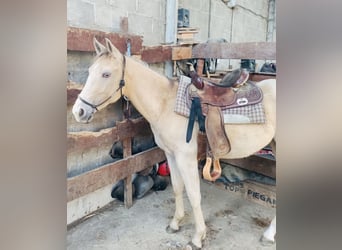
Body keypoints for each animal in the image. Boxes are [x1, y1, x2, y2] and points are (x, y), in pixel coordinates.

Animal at [73, 38, 278, 249]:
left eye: (106, 74)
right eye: (90, 71)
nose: (78, 111)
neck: (166, 105)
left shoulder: (186, 158)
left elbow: (194, 195)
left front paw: (198, 237)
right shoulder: (171, 155)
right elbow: (178, 188)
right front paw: (175, 223)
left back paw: (269, 234)